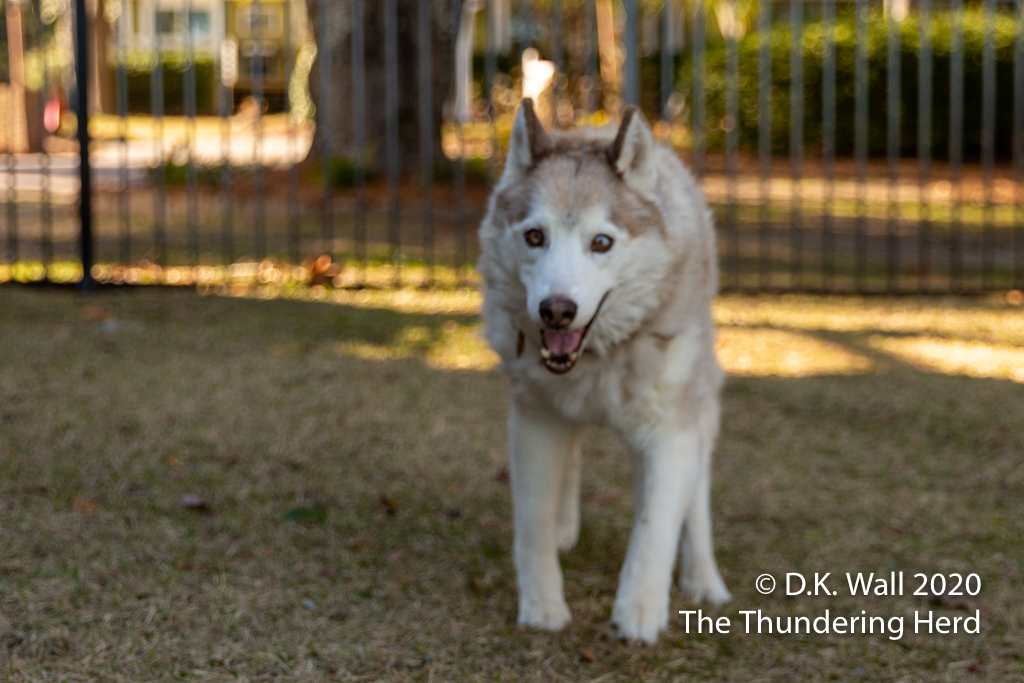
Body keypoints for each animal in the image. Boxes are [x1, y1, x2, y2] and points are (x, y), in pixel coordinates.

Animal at [477, 98, 729, 643]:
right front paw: (542, 606)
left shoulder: (669, 435)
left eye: (601, 243)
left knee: (696, 497)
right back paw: (565, 527)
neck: (595, 359)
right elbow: (532, 523)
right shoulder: (536, 422)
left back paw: (703, 577)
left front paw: (639, 615)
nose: (556, 310)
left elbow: (656, 527)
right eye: (535, 236)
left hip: (698, 407)